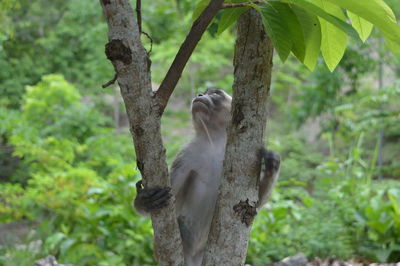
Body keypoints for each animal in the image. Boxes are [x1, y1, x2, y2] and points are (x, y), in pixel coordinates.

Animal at [133, 89, 280, 266]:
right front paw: (143, 201)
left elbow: (253, 204)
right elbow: (171, 192)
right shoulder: (187, 155)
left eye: (215, 93)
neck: (215, 143)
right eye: (204, 92)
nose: (200, 95)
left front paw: (272, 166)